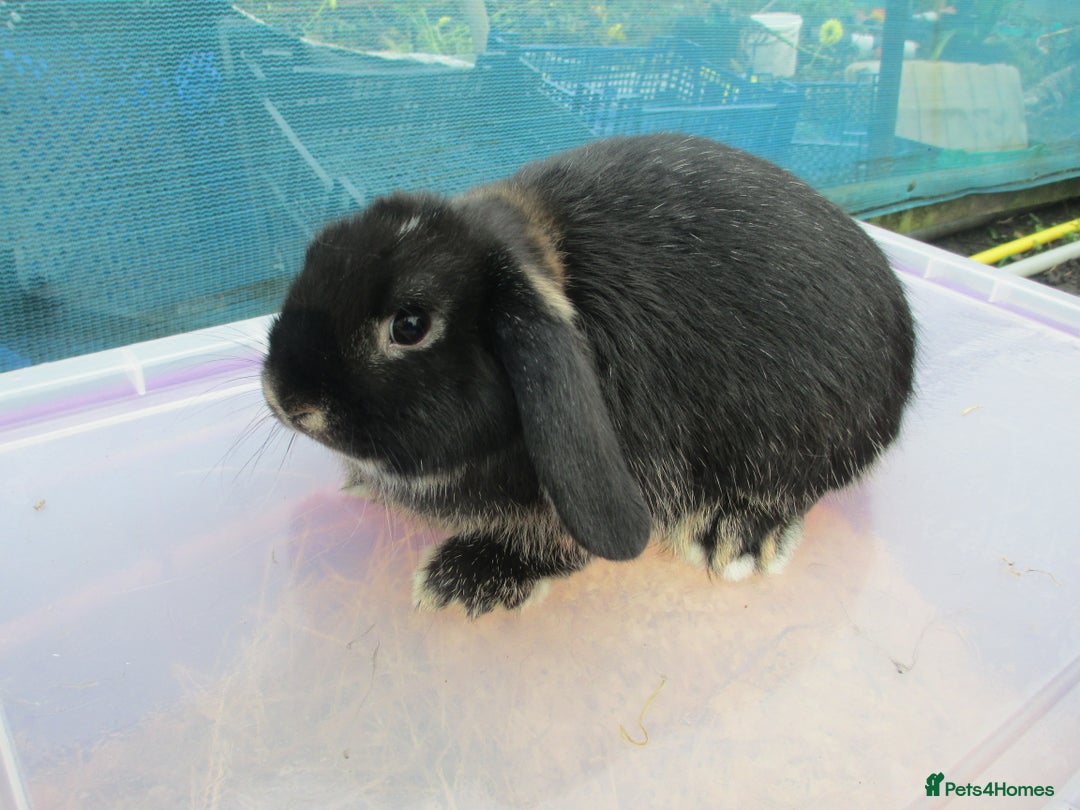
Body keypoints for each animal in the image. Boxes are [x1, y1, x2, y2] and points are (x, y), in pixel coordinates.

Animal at [261, 133, 916, 617]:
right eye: (315, 256)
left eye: (410, 324)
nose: (284, 397)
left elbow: (556, 541)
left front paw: (462, 580)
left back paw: (733, 538)